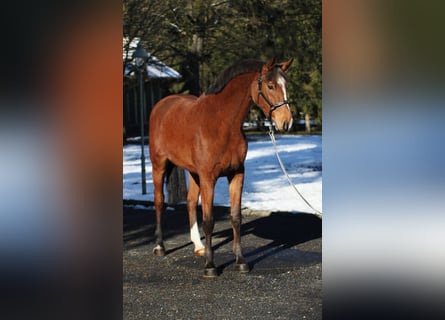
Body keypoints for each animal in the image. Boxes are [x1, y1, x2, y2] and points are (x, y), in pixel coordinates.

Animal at [149, 57, 294, 278]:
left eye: (286, 85)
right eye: (270, 86)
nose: (286, 122)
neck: (223, 123)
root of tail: (162, 105)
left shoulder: (236, 174)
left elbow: (235, 217)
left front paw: (240, 261)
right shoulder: (209, 177)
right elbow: (209, 220)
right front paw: (210, 266)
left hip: (193, 173)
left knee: (190, 202)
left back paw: (198, 246)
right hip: (159, 165)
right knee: (159, 201)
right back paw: (160, 247)